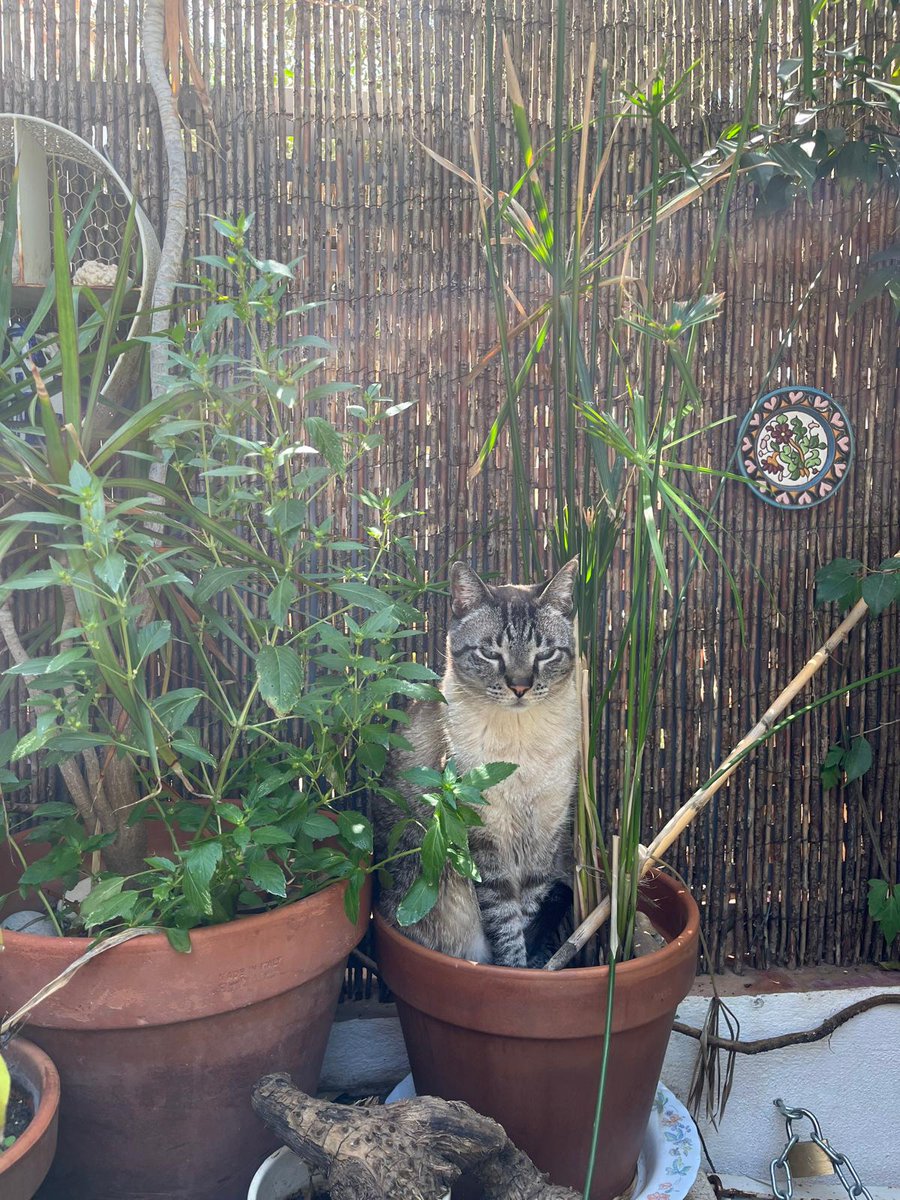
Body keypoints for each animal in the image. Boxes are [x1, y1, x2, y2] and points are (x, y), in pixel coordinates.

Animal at [374, 559, 580, 964]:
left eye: (545, 654)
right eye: (491, 654)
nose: (520, 686)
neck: (522, 745)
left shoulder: (543, 835)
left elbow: (528, 911)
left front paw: (529, 968)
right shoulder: (484, 836)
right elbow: (505, 922)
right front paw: (515, 969)